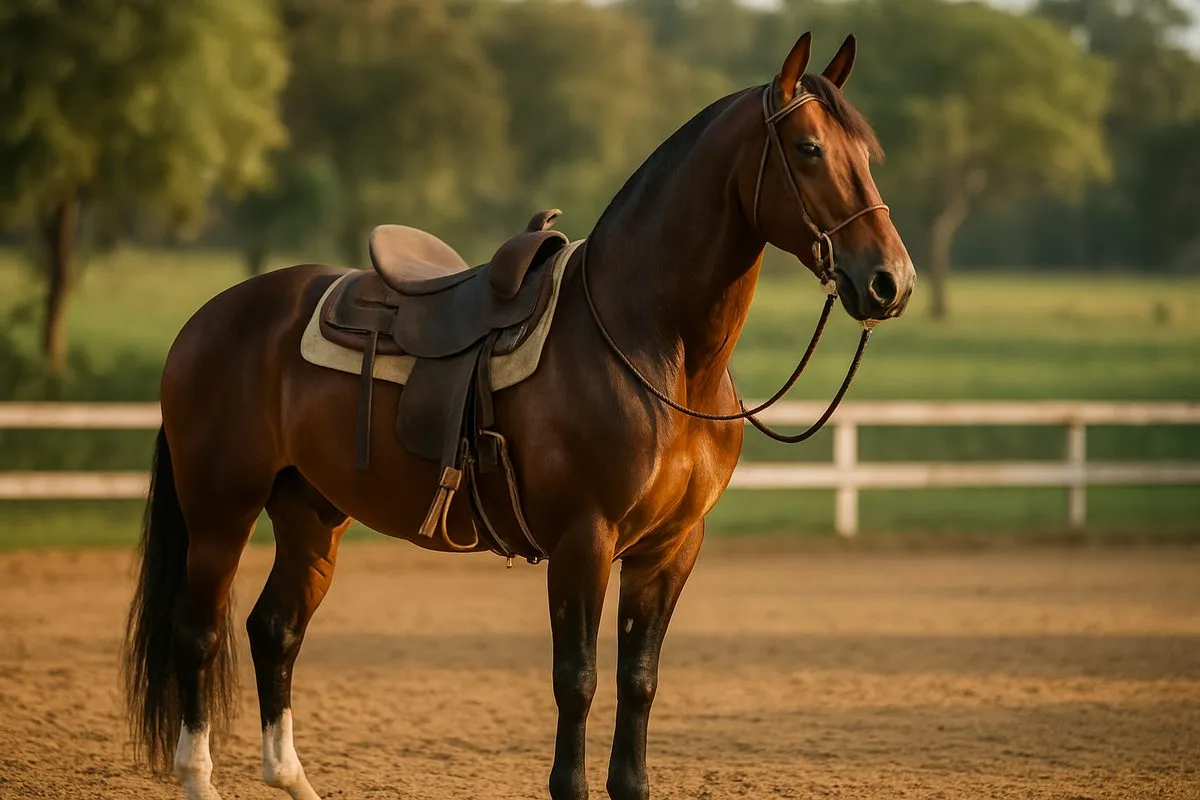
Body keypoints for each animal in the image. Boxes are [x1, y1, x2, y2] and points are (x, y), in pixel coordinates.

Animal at [123, 32, 914, 800]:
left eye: (867, 154)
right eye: (808, 149)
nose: (891, 282)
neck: (651, 343)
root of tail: (210, 317)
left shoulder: (670, 548)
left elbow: (639, 680)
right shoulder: (582, 540)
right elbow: (578, 681)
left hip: (311, 513)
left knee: (274, 630)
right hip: (221, 511)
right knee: (198, 635)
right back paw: (198, 777)